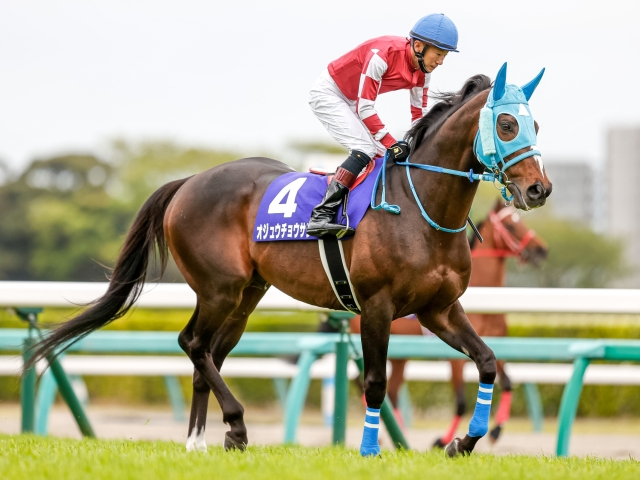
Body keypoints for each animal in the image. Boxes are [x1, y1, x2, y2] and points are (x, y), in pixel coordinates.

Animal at [28, 64, 552, 458]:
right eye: (507, 125)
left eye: (535, 125)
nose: (538, 189)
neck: (422, 205)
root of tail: (189, 181)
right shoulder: (377, 307)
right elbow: (375, 382)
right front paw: (369, 451)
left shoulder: (439, 309)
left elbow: (487, 363)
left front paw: (464, 442)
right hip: (219, 287)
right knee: (192, 343)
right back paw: (236, 426)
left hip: (246, 294)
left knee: (208, 352)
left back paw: (199, 441)